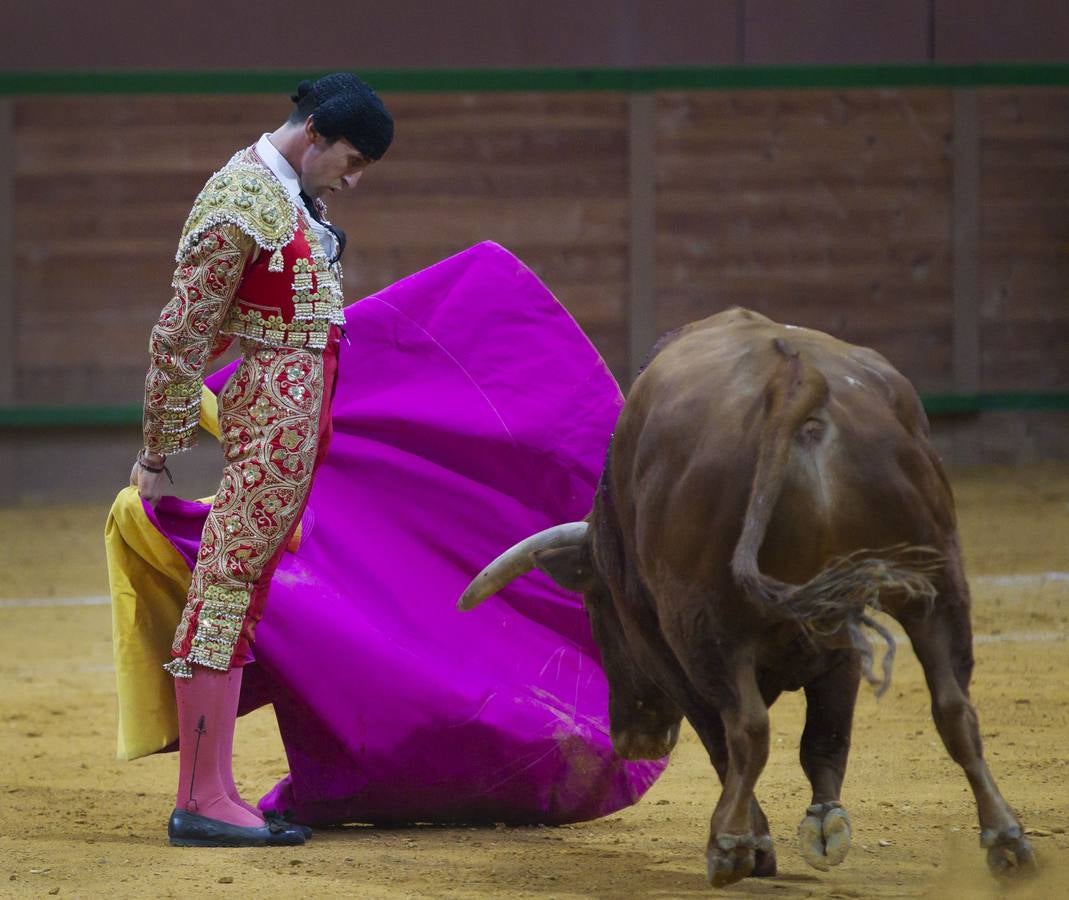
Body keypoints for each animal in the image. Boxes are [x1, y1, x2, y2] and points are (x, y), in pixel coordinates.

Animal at [457, 307, 1034, 885]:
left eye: (595, 608)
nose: (633, 740)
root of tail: (795, 381)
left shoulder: (663, 647)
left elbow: (727, 738)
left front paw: (755, 843)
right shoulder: (841, 638)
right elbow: (825, 739)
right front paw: (822, 824)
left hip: (704, 625)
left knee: (745, 728)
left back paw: (730, 847)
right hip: (936, 583)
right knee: (954, 708)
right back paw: (1005, 839)